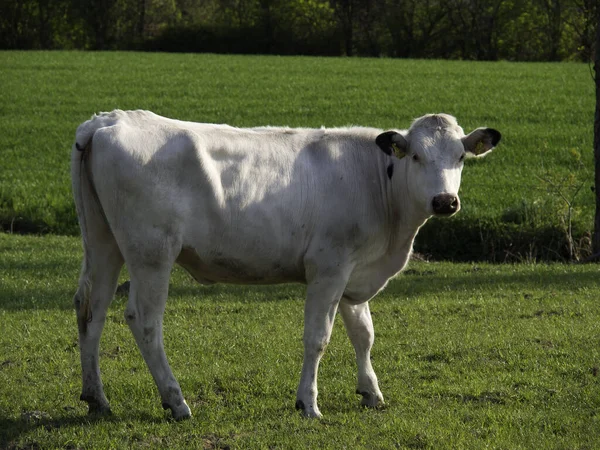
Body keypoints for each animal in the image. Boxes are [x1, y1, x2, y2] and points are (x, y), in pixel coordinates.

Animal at [71, 110, 502, 420]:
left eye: (460, 157)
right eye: (416, 155)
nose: (444, 201)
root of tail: (108, 120)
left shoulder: (355, 272)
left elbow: (364, 334)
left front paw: (371, 392)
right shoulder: (329, 267)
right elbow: (318, 337)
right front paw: (308, 404)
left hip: (104, 242)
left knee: (91, 309)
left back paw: (96, 398)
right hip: (152, 252)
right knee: (143, 320)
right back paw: (176, 402)